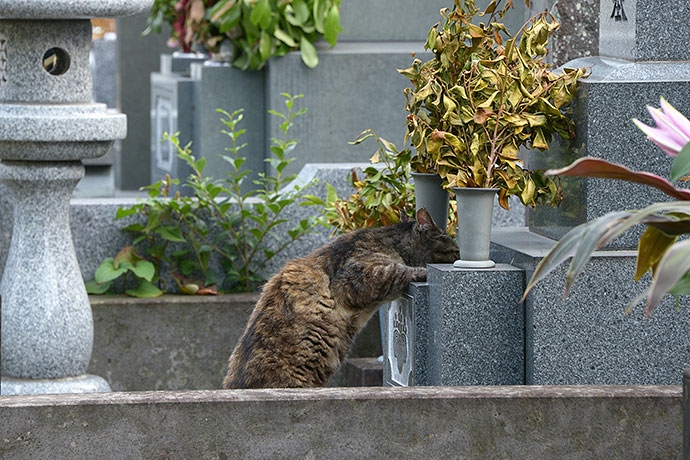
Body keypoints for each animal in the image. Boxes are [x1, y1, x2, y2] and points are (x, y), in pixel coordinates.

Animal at [222, 208, 456, 388]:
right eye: (454, 248)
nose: (460, 252)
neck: (389, 241)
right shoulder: (358, 276)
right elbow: (398, 269)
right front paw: (421, 271)